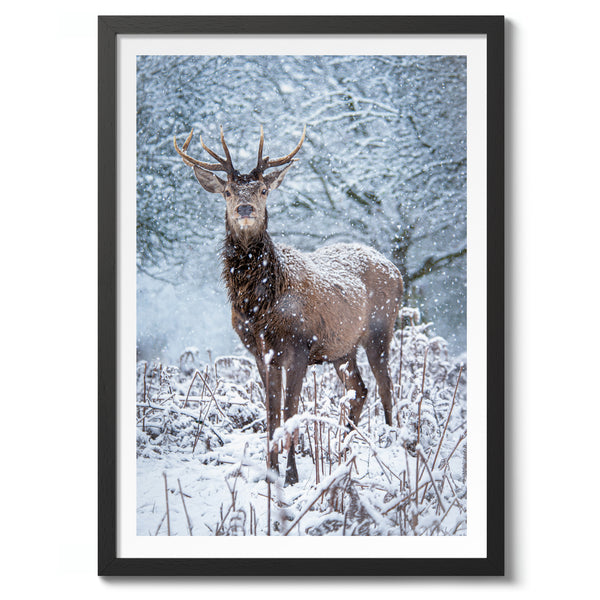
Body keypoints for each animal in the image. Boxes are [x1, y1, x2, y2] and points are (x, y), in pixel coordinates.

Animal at [173, 126, 404, 488]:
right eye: (227, 191)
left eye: (263, 189)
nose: (244, 209)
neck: (260, 309)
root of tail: (396, 270)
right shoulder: (260, 352)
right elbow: (270, 411)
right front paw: (270, 472)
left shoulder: (298, 346)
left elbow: (290, 411)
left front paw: (292, 476)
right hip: (342, 348)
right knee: (360, 389)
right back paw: (343, 447)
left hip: (381, 329)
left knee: (386, 385)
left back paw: (391, 444)